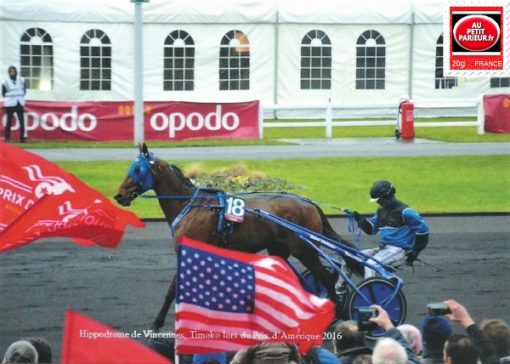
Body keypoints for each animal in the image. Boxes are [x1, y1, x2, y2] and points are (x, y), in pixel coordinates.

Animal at [115, 144, 362, 330]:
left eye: (137, 170)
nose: (119, 195)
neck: (190, 206)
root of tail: (310, 204)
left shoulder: (188, 250)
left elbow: (173, 289)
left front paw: (157, 323)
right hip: (279, 249)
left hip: (305, 250)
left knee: (327, 279)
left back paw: (339, 315)